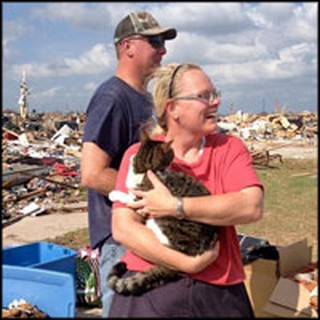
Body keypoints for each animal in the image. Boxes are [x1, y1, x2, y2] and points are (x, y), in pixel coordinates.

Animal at [108, 130, 220, 296]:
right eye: (171, 153)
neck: (145, 168)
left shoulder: (142, 199)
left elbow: (128, 196)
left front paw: (114, 194)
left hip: (165, 221)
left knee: (165, 240)